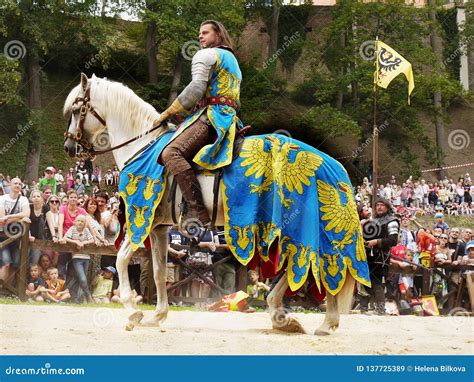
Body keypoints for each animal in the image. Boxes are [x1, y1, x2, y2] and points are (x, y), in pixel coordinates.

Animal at [65, 74, 356, 334]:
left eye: (77, 110)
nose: (69, 147)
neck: (143, 146)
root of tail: (327, 163)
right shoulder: (159, 227)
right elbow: (159, 272)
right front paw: (157, 316)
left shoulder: (142, 218)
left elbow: (122, 259)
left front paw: (134, 312)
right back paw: (306, 319)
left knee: (312, 263)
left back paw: (307, 318)